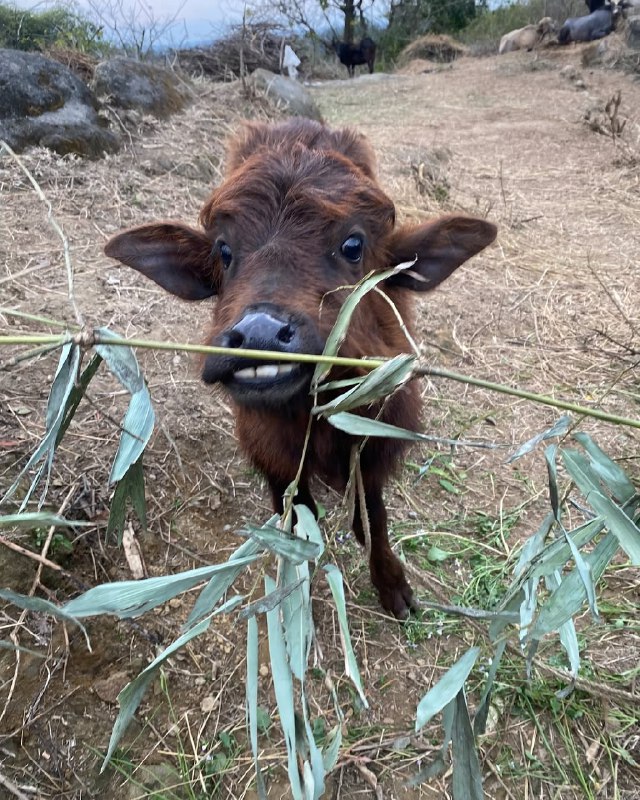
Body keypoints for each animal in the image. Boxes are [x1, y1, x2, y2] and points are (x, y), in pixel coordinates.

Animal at [104, 119, 496, 620]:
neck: (316, 420)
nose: (260, 334)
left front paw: (394, 587)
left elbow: (373, 518)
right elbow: (295, 520)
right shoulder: (273, 457)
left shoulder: (372, 445)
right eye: (224, 251)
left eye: (353, 245)